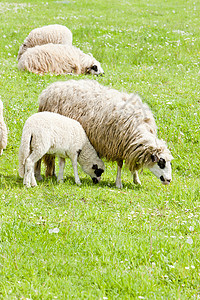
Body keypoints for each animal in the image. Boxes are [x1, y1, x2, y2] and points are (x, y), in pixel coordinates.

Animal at [36, 79, 173, 188]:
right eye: (161, 163)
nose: (168, 180)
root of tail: (51, 88)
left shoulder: (130, 148)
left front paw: (136, 180)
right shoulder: (117, 145)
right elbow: (120, 165)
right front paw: (119, 183)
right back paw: (38, 175)